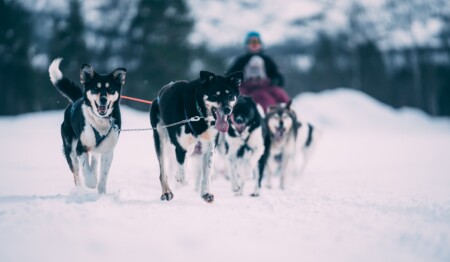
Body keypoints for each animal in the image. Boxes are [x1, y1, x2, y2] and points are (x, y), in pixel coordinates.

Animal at [48, 58, 125, 193]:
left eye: (110, 89)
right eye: (95, 88)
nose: (103, 99)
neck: (100, 121)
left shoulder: (108, 151)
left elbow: (103, 176)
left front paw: (102, 193)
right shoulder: (80, 148)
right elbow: (85, 169)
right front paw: (91, 182)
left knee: (93, 161)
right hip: (70, 150)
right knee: (77, 173)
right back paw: (80, 189)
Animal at [149, 71, 243, 203]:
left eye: (230, 95)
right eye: (215, 95)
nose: (227, 109)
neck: (200, 115)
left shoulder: (209, 147)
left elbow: (207, 173)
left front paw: (206, 193)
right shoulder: (181, 147)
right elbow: (182, 175)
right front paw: (180, 178)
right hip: (160, 138)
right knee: (163, 171)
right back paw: (166, 192)